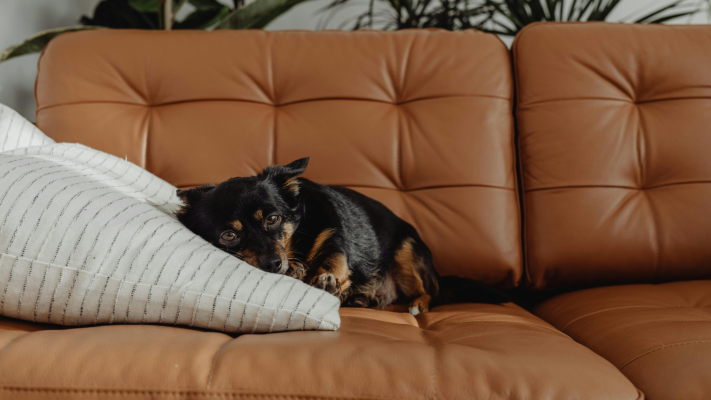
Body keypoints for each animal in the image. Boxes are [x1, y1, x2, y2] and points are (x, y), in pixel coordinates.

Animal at [176, 158, 509, 315]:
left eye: (272, 219)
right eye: (229, 235)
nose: (273, 265)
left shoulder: (333, 237)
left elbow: (332, 258)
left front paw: (325, 278)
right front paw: (298, 271)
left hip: (406, 254)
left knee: (429, 293)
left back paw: (416, 305)